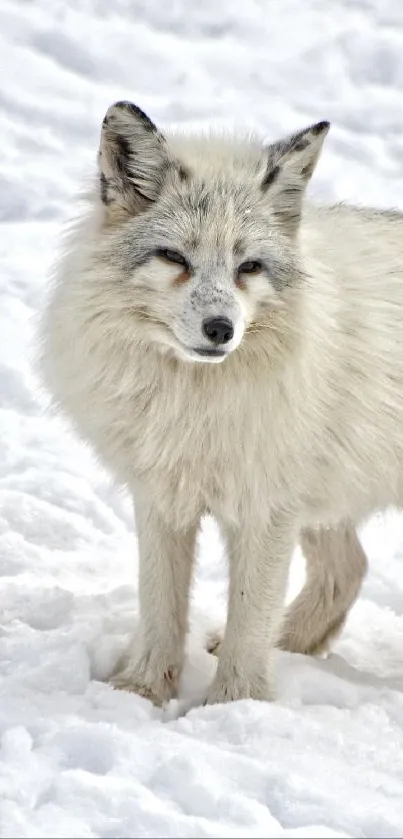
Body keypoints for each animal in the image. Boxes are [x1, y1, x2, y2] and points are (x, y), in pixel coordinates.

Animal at [41, 103, 403, 708]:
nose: (220, 329)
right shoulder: (162, 495)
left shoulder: (265, 509)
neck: (195, 404)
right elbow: (159, 605)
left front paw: (235, 707)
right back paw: (290, 644)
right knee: (349, 569)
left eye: (248, 266)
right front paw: (139, 692)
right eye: (173, 257)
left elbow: (249, 620)